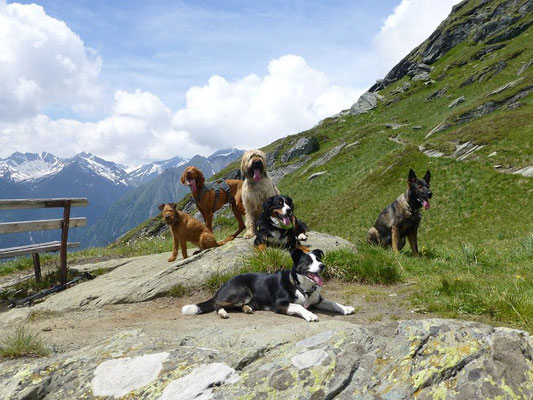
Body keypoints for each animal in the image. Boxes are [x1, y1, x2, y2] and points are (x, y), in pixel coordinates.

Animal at [182, 247, 354, 322]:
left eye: (318, 259)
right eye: (308, 261)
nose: (323, 266)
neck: (302, 287)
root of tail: (223, 286)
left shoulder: (317, 300)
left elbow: (332, 302)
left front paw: (345, 308)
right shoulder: (280, 304)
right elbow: (299, 306)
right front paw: (310, 315)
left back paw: (247, 309)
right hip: (242, 291)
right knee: (218, 303)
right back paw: (223, 312)